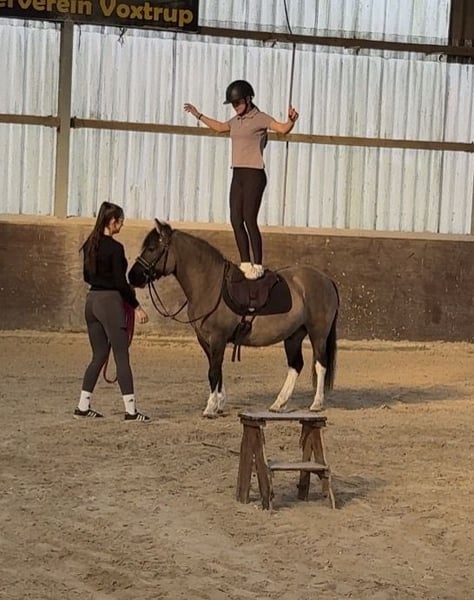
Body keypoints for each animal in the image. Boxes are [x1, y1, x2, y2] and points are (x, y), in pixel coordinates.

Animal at [128, 220, 339, 417]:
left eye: (152, 248)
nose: (132, 276)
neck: (210, 285)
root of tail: (326, 279)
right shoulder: (205, 340)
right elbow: (216, 369)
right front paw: (219, 404)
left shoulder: (217, 338)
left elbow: (213, 372)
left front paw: (210, 407)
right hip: (294, 335)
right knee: (295, 365)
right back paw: (279, 403)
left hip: (318, 333)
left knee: (320, 364)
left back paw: (316, 404)